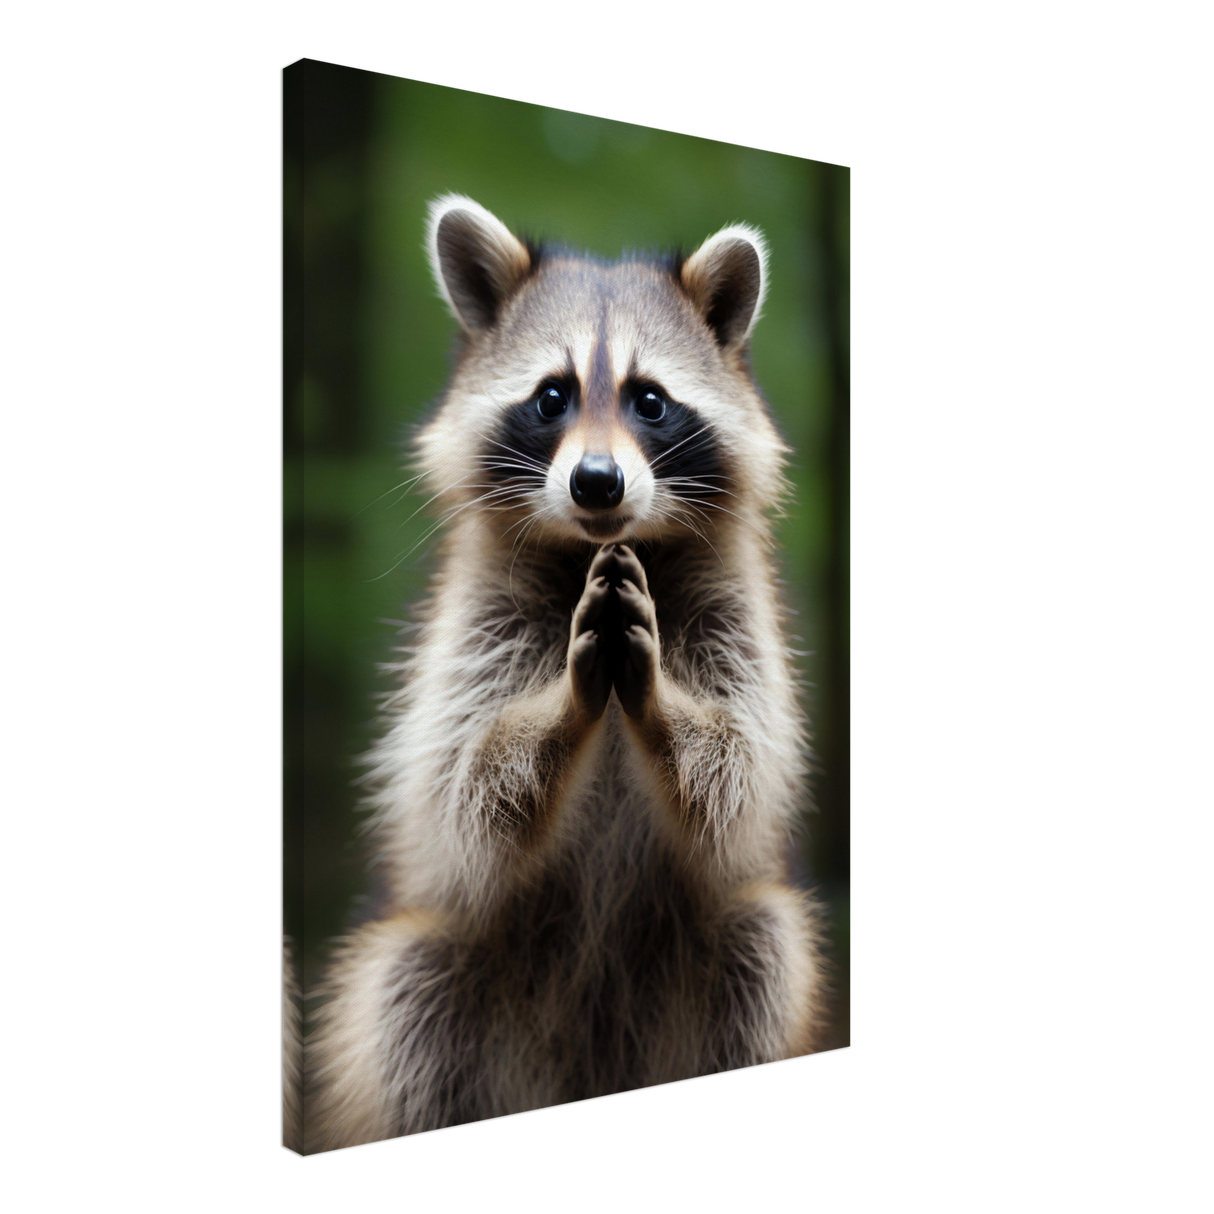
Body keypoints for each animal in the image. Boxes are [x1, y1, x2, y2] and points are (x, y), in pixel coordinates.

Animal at [304, 195, 828, 1152]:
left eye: (649, 401)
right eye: (553, 396)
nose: (596, 482)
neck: (600, 551)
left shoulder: (739, 612)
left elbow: (739, 771)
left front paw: (661, 709)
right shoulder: (473, 619)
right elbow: (462, 788)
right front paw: (558, 711)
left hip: (726, 965)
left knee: (762, 948)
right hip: (441, 976)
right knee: (406, 998)